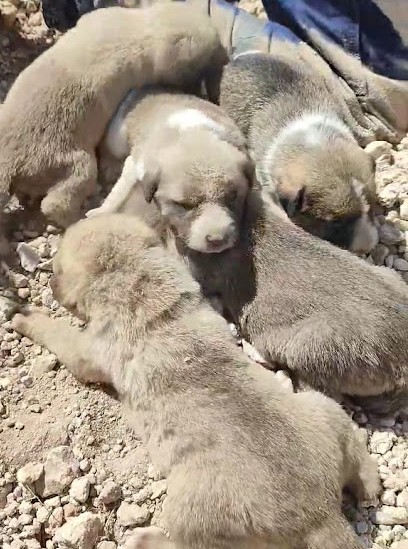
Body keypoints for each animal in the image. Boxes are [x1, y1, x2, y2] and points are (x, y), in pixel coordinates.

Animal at [11, 214, 380, 548]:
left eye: (58, 268)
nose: (51, 284)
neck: (137, 282)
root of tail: (322, 515)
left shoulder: (88, 348)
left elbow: (59, 336)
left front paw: (24, 316)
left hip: (191, 507)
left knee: (184, 541)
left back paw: (144, 539)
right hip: (320, 406)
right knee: (352, 445)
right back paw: (370, 481)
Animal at [87, 88, 252, 255]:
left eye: (232, 198)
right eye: (184, 205)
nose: (217, 240)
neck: (192, 134)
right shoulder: (134, 165)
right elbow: (118, 193)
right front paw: (101, 211)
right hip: (117, 139)